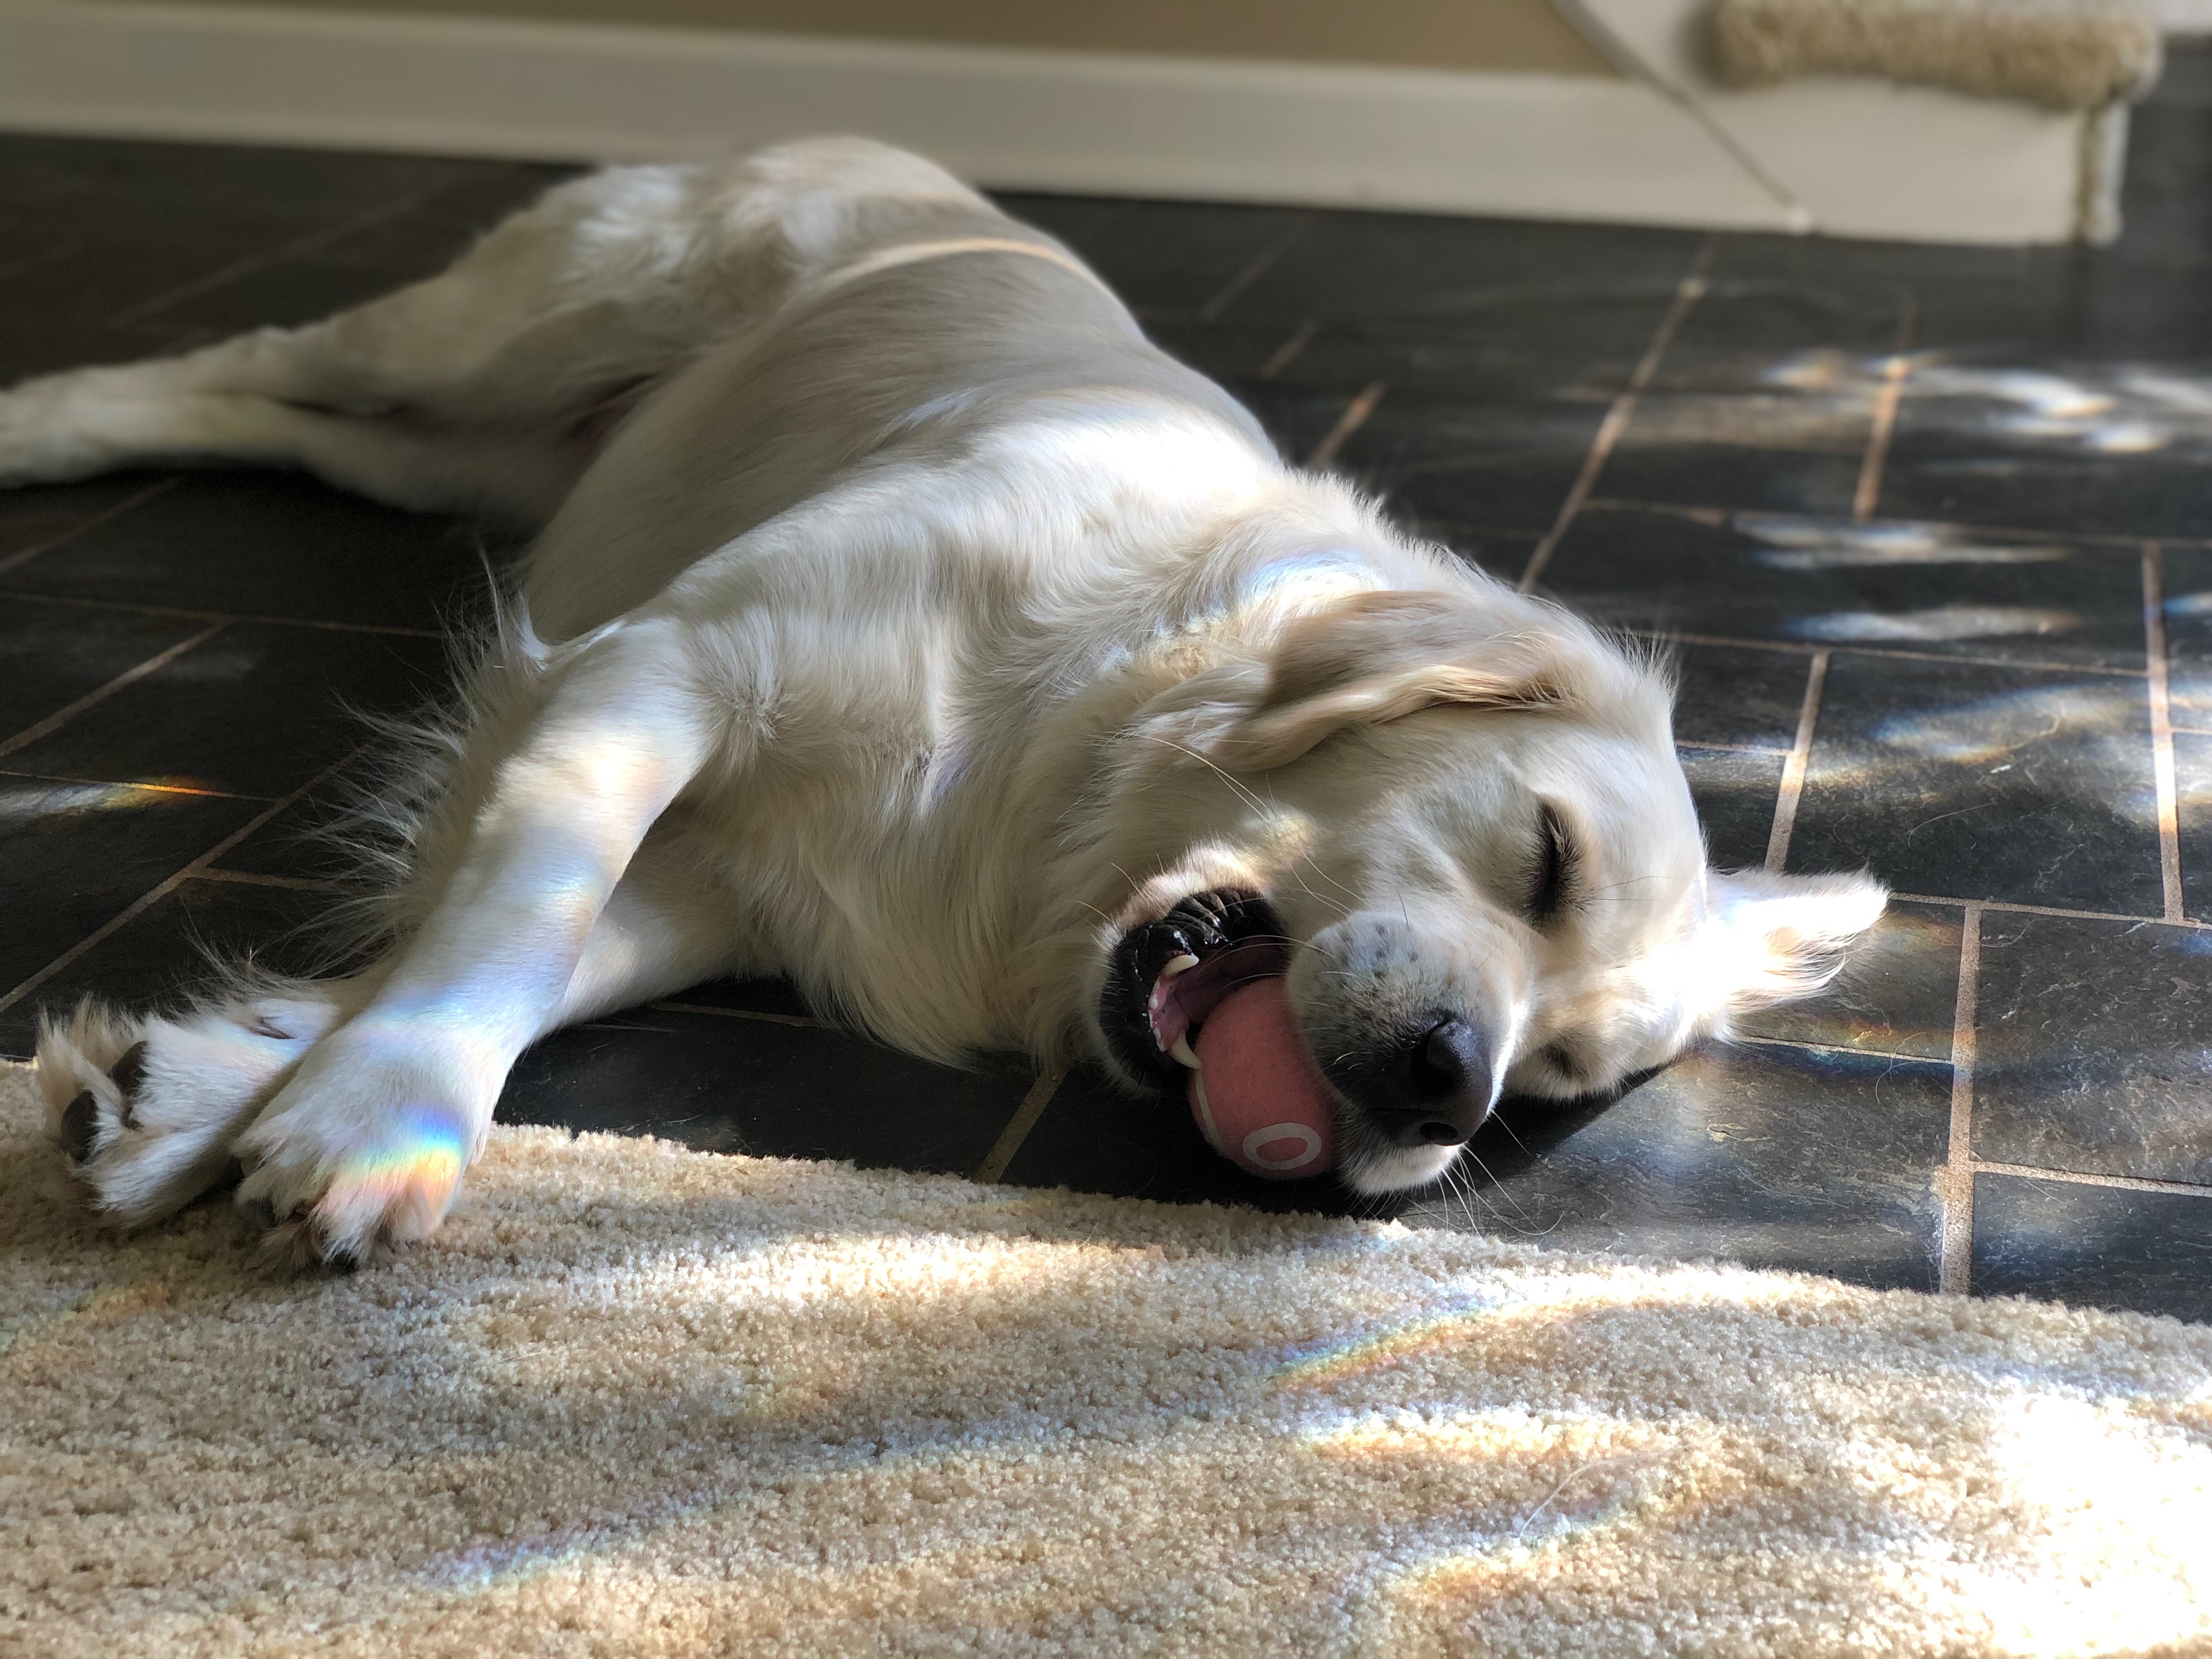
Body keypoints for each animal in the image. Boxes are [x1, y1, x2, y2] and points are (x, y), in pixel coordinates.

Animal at [3, 139, 1885, 1260]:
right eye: (1544, 859)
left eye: (1556, 1082)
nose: (1444, 1089)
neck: (1065, 743)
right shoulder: (667, 662)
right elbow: (519, 923)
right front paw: (385, 1121)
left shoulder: (728, 889)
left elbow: (536, 954)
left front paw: (198, 1097)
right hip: (510, 336)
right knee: (248, 357)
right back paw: (38, 415)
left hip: (466, 454)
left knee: (280, 420)